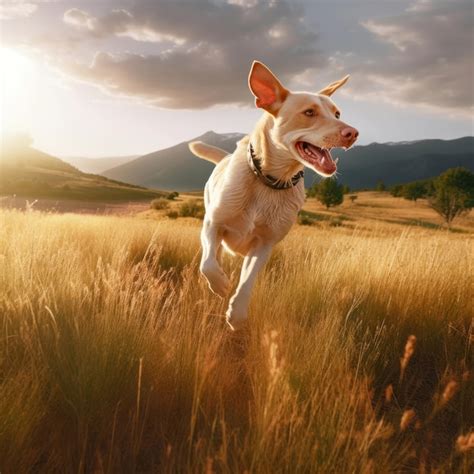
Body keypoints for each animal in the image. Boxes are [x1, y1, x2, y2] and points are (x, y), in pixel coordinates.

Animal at [189, 61, 360, 332]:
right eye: (309, 112)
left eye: (337, 114)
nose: (352, 133)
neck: (270, 181)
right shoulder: (213, 224)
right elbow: (208, 264)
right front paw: (220, 285)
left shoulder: (264, 244)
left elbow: (248, 281)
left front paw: (237, 314)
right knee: (213, 256)